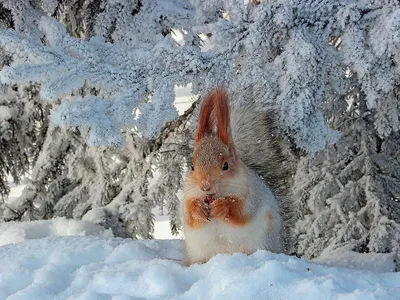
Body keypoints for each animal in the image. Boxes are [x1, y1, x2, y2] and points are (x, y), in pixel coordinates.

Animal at [182, 86, 294, 264]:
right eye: (192, 166)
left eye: (226, 165)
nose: (205, 186)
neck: (217, 194)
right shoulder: (188, 194)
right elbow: (190, 216)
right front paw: (198, 208)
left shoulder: (250, 194)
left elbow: (240, 212)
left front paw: (222, 207)